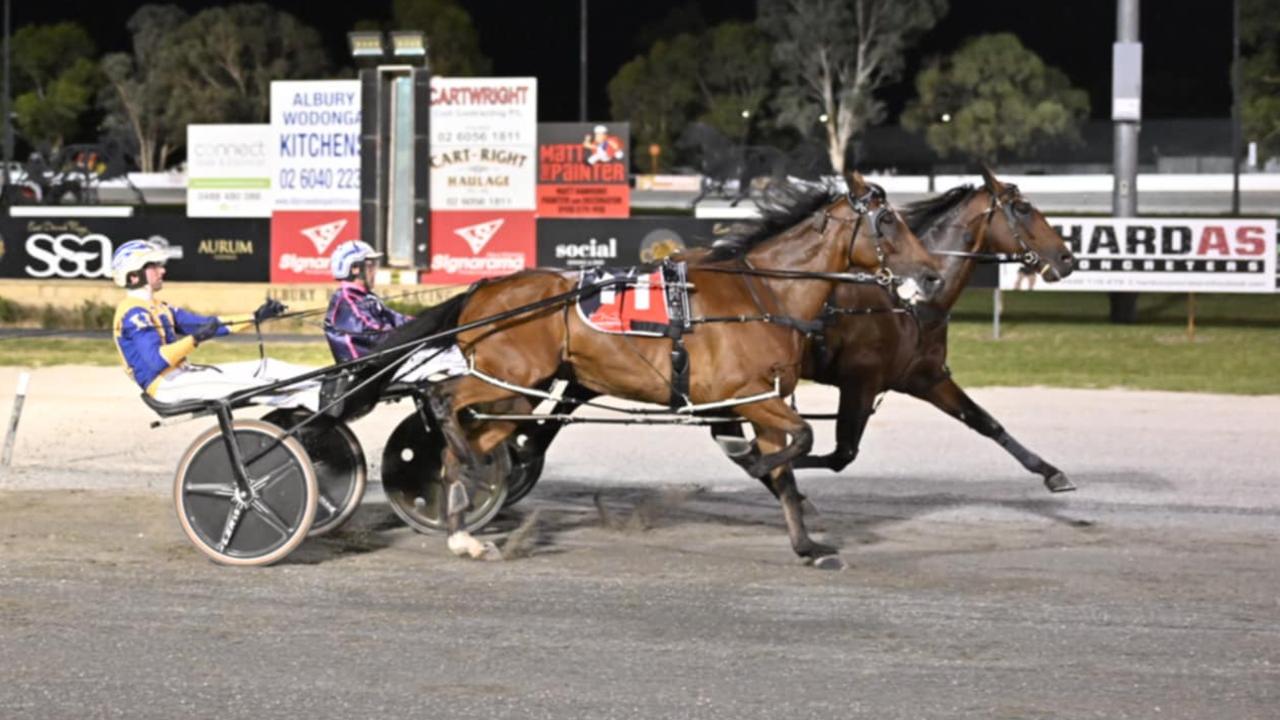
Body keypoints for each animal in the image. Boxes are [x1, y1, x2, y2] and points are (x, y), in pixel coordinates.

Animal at [371, 174, 942, 566]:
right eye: (889, 221)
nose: (933, 273)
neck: (763, 294)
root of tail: (484, 288)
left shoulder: (757, 401)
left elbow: (788, 467)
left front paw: (806, 544)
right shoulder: (747, 395)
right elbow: (797, 442)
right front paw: (754, 465)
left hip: (516, 391)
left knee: (475, 439)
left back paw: (462, 531)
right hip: (510, 373)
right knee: (443, 401)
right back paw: (462, 469)